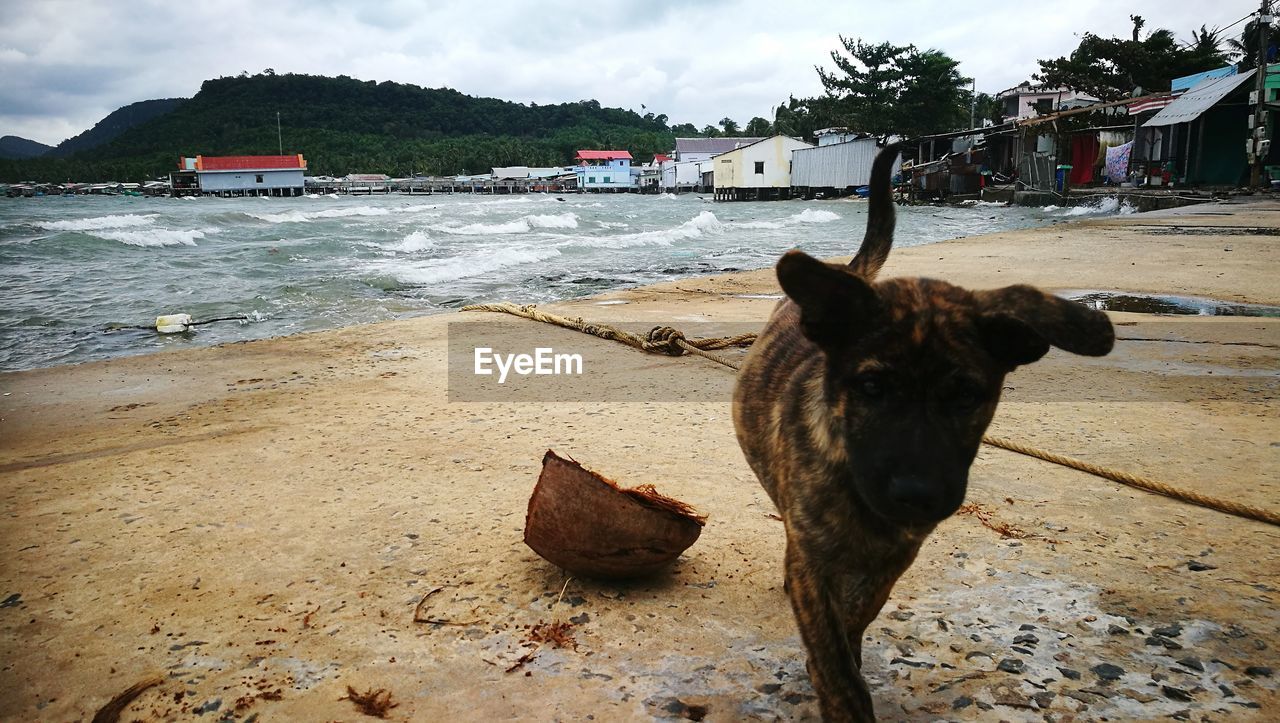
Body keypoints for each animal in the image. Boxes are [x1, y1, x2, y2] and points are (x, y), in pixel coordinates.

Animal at [737, 143, 1116, 716]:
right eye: (871, 387)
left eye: (965, 395)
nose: (917, 494)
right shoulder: (812, 564)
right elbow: (831, 647)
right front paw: (839, 690)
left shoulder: (897, 556)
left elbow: (857, 616)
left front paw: (846, 655)